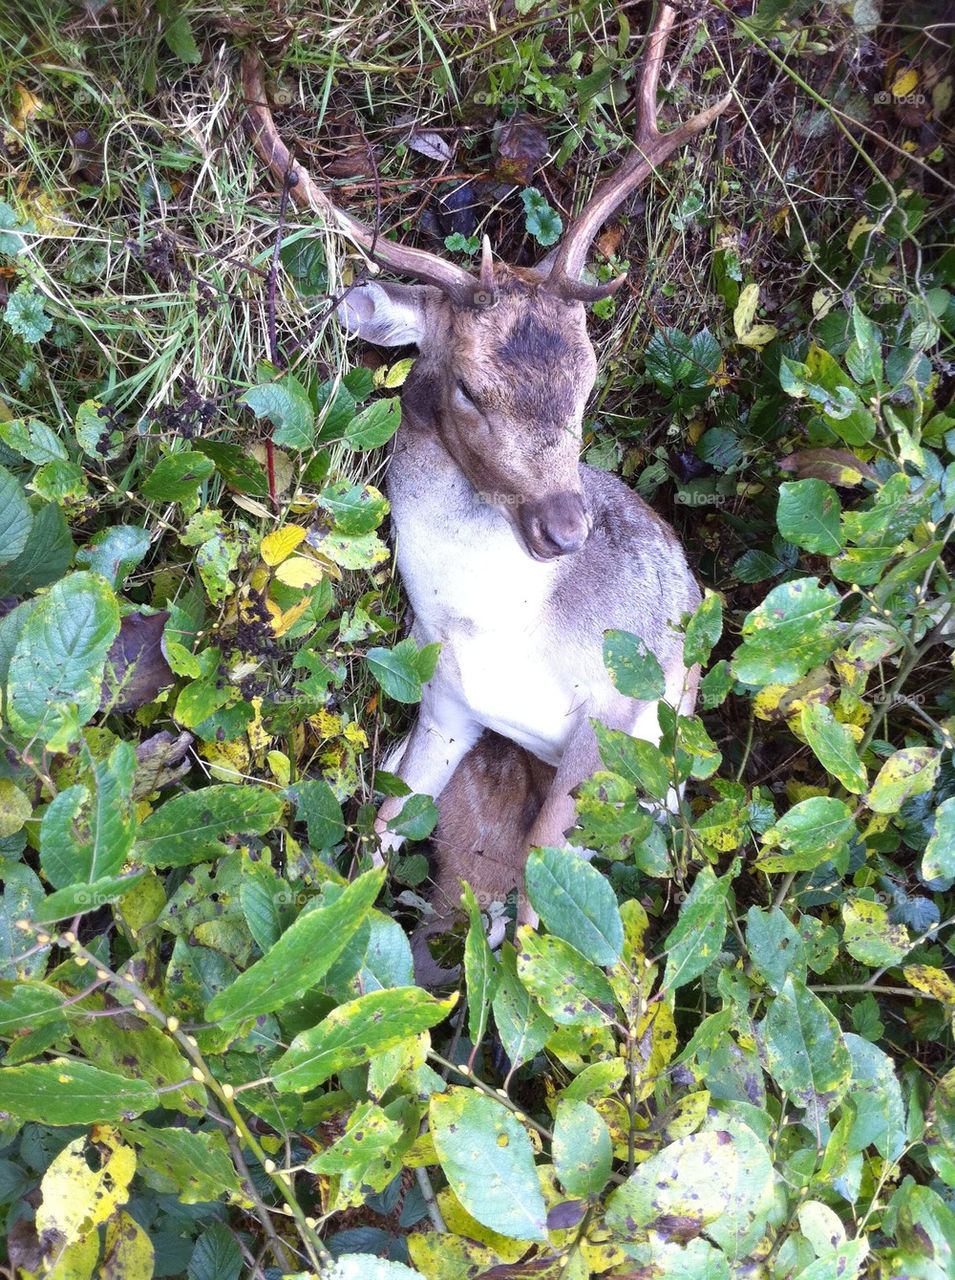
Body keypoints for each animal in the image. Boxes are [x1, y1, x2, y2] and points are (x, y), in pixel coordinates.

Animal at [242, 4, 731, 963]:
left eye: (588, 376)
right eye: (469, 387)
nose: (564, 525)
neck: (507, 632)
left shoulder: (613, 719)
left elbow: (548, 924)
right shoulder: (443, 702)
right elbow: (379, 829)